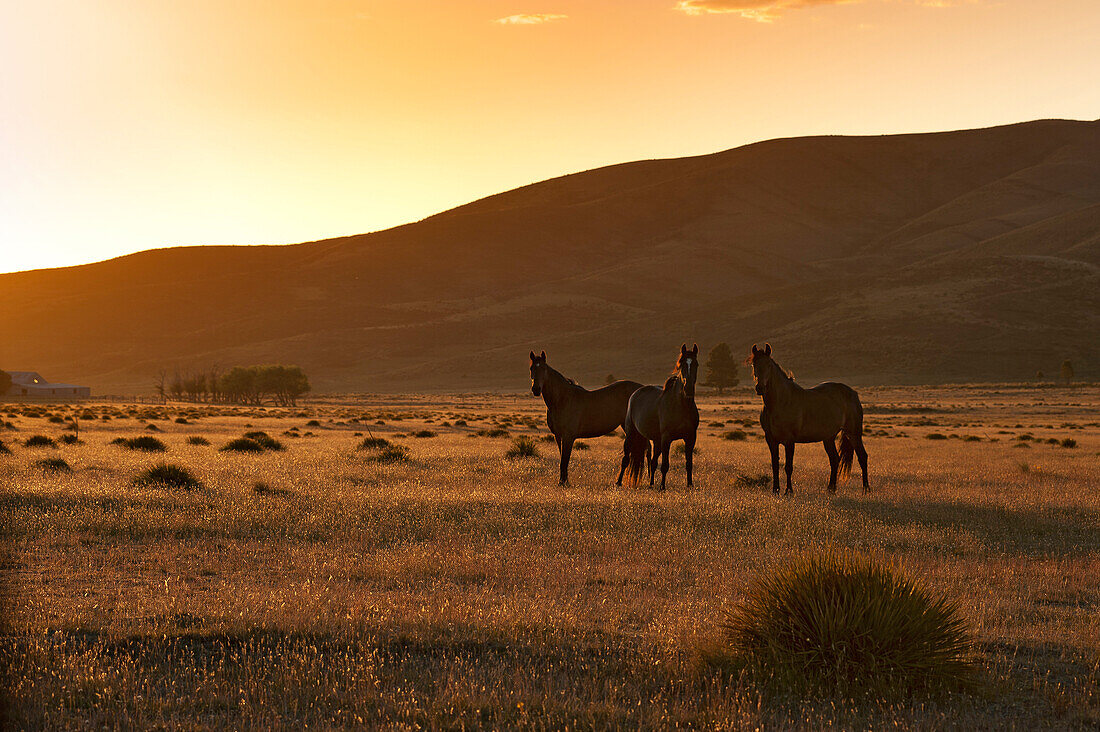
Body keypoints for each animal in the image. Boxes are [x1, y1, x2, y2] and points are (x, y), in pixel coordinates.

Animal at [528, 352, 642, 488]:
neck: (562, 399)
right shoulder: (558, 436)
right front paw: (563, 481)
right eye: (531, 368)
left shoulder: (568, 437)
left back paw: (618, 482)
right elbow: (562, 459)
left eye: (544, 369)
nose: (536, 389)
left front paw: (563, 483)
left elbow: (565, 460)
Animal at [616, 343, 699, 490]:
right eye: (681, 364)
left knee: (653, 462)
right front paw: (662, 487)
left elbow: (689, 464)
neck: (681, 406)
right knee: (626, 459)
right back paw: (619, 482)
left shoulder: (690, 437)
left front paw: (689, 485)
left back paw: (651, 484)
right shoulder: (667, 438)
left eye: (696, 364)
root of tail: (635, 393)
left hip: (656, 440)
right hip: (631, 434)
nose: (688, 388)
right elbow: (665, 465)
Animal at [748, 343, 866, 497]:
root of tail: (853, 393)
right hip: (828, 437)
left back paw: (866, 490)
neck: (780, 402)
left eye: (768, 364)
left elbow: (788, 466)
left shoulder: (789, 441)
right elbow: (775, 465)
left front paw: (788, 491)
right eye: (753, 364)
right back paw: (831, 489)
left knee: (862, 457)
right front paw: (775, 490)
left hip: (853, 433)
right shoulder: (771, 440)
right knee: (835, 459)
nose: (760, 388)